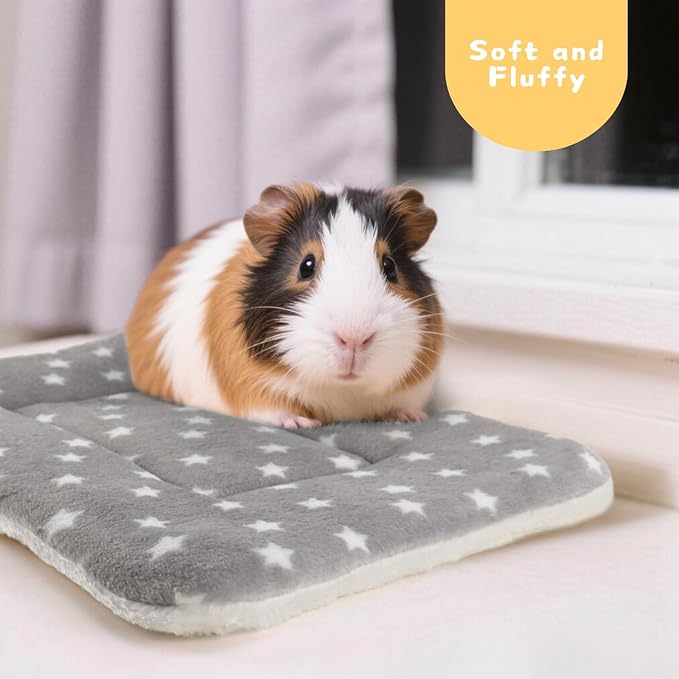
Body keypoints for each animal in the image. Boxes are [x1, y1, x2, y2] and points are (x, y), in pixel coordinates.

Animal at [125, 183, 444, 429]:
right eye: (306, 265)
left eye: (390, 266)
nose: (354, 338)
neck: (343, 391)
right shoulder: (252, 389)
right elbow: (275, 409)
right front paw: (301, 423)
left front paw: (410, 417)